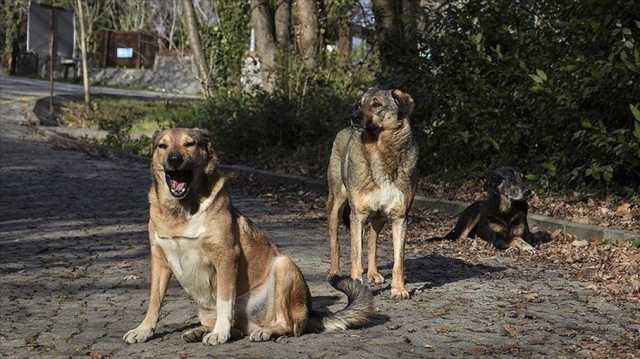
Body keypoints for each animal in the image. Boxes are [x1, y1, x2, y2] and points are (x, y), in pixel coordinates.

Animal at [123, 129, 372, 346]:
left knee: (288, 326)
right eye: (162, 146)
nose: (174, 159)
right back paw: (199, 331)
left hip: (284, 266)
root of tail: (309, 312)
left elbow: (225, 301)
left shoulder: (225, 257)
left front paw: (219, 334)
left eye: (189, 144)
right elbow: (154, 301)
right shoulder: (159, 260)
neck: (181, 211)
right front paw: (143, 330)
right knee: (237, 327)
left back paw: (263, 332)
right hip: (205, 308)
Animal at [324, 88, 420, 300]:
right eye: (359, 104)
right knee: (335, 242)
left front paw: (398, 289)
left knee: (372, 241)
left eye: (376, 104)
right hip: (337, 205)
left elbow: (398, 261)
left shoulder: (400, 218)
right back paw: (335, 273)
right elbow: (355, 256)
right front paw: (356, 285)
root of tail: (344, 130)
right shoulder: (357, 216)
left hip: (378, 218)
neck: (380, 149)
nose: (353, 116)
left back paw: (374, 274)